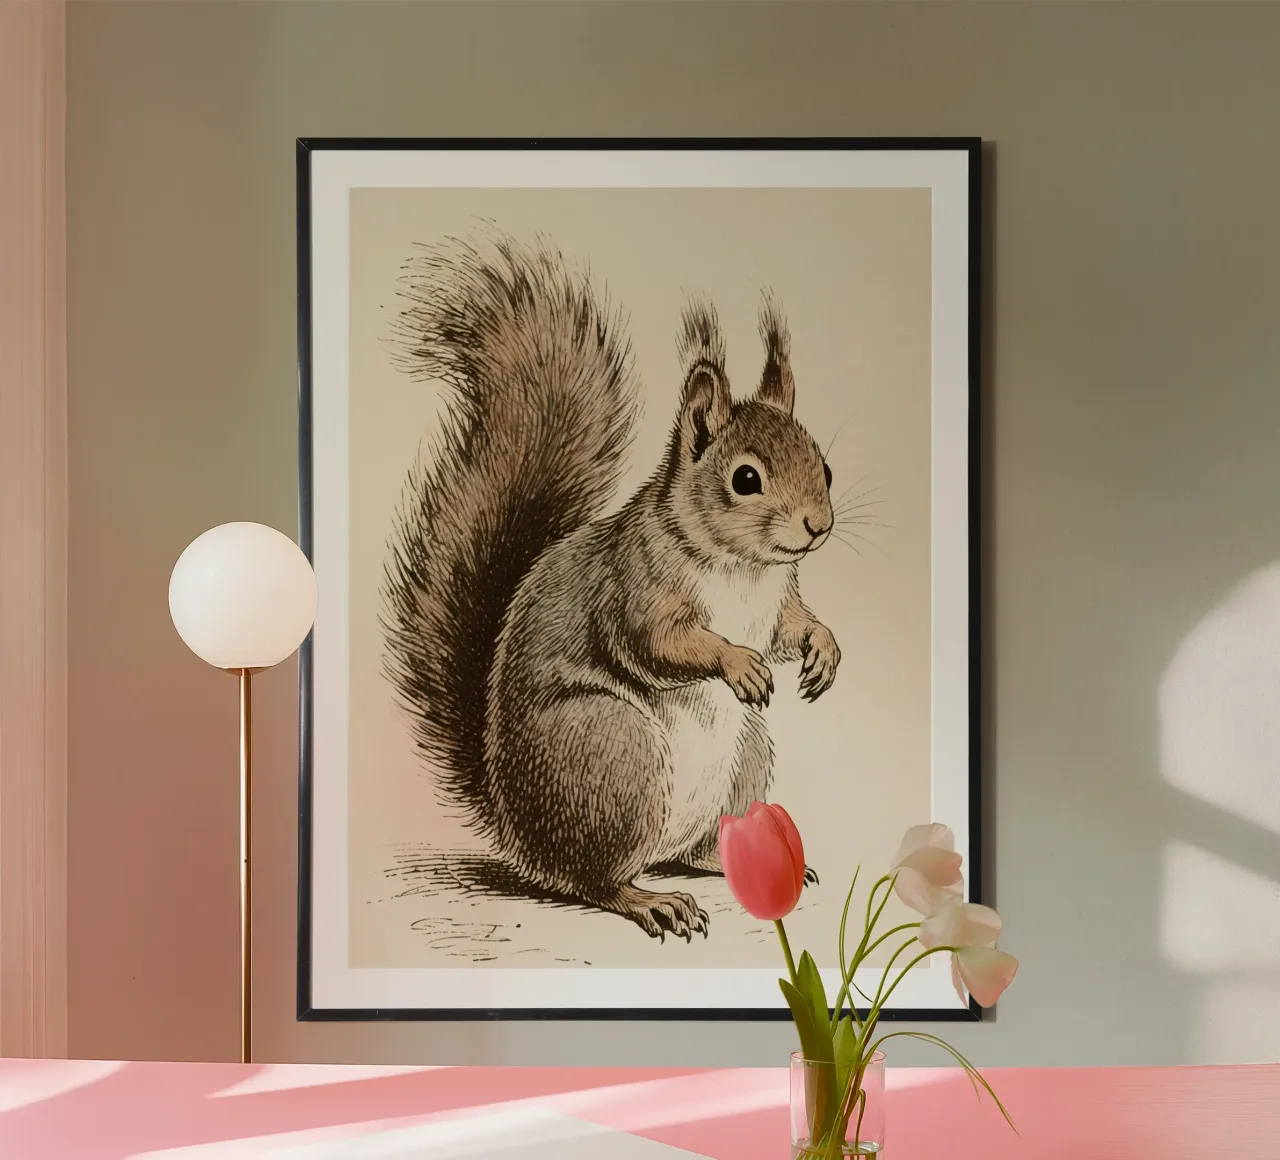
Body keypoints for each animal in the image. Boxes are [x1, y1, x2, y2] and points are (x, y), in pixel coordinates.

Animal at [383, 230, 839, 941]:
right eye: (745, 479)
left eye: (825, 466)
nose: (818, 526)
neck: (743, 568)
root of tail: (524, 839)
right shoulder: (635, 588)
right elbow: (658, 643)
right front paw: (738, 662)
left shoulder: (777, 601)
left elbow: (794, 625)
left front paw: (823, 649)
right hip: (613, 754)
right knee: (594, 880)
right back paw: (650, 900)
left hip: (746, 755)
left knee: (692, 849)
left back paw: (730, 861)